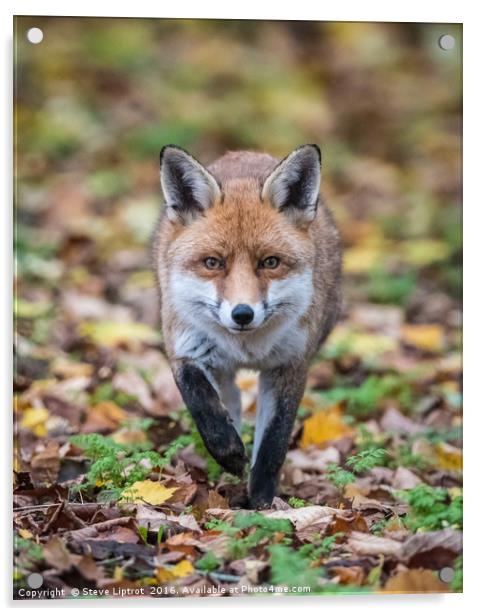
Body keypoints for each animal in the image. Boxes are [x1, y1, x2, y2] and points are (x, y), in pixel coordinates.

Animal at [153, 143, 340, 506]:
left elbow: (274, 444)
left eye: (270, 262)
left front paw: (262, 502)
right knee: (231, 400)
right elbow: (203, 407)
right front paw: (229, 454)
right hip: (218, 367)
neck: (245, 349)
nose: (242, 314)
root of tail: (245, 152)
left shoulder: (291, 365)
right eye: (213, 262)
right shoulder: (184, 350)